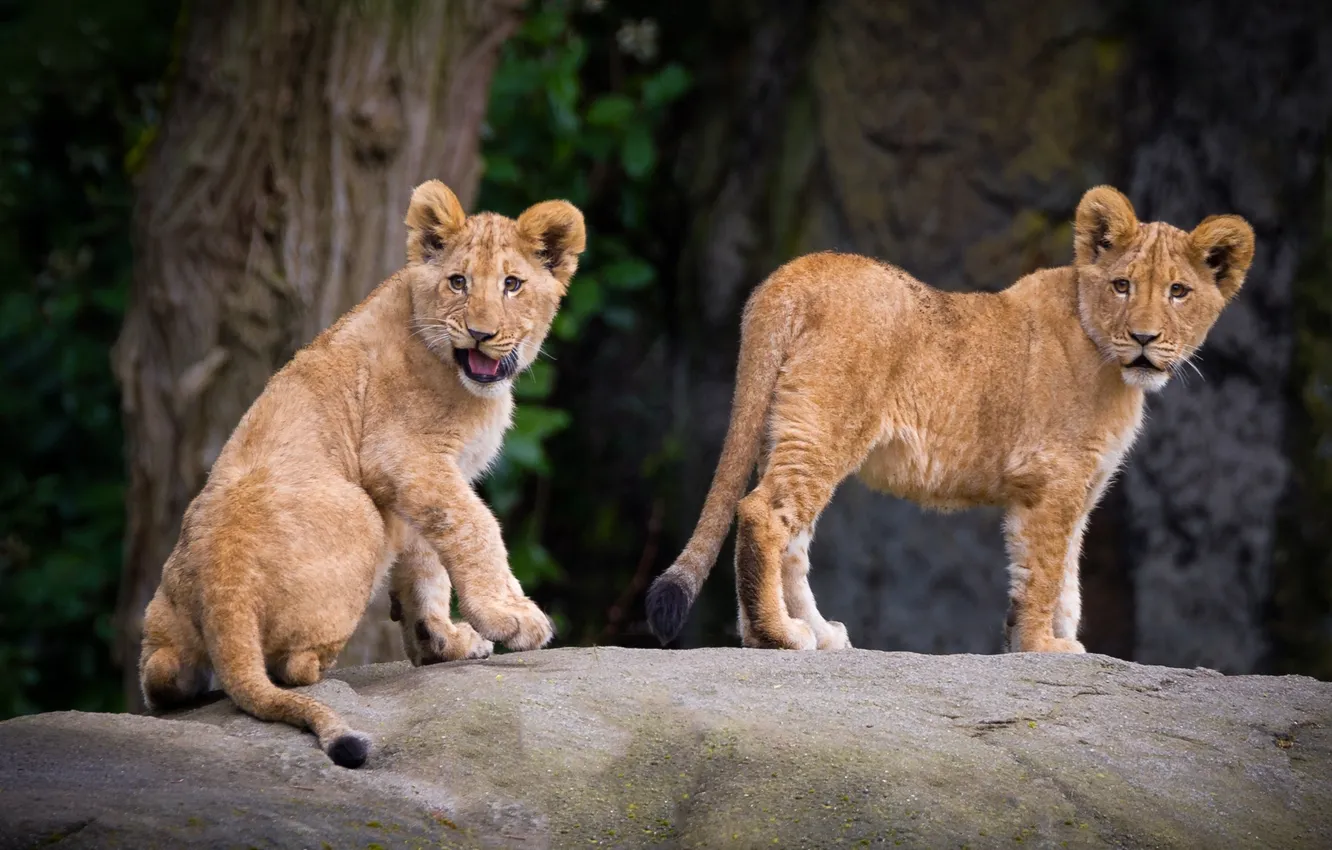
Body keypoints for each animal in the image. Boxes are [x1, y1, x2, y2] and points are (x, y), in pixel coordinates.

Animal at [138, 180, 585, 767]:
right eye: (458, 282)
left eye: (512, 284)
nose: (481, 334)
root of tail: (223, 588)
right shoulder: (402, 456)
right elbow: (476, 527)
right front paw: (510, 616)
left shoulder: (413, 485)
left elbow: (426, 564)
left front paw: (441, 642)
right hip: (361, 512)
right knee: (291, 672)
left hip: (168, 626)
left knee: (160, 676)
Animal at [646, 185, 1254, 655]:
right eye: (1122, 285)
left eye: (1179, 292)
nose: (1145, 338)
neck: (1111, 363)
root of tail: (791, 275)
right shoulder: (1053, 478)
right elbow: (1045, 569)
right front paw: (1042, 646)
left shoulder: (1079, 489)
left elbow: (1065, 577)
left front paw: (1054, 639)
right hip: (825, 426)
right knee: (764, 514)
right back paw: (780, 637)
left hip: (786, 428)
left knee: (792, 538)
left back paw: (807, 632)